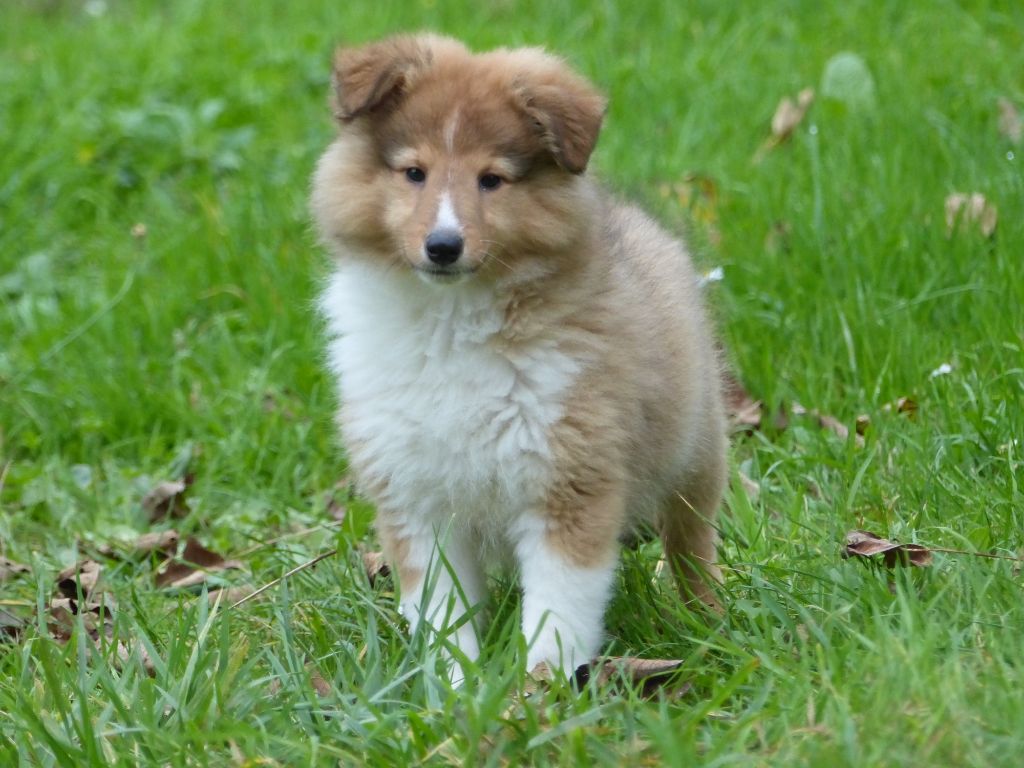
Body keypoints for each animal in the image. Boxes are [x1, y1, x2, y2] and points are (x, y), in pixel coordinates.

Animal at [311, 34, 729, 679]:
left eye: (492, 179)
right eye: (414, 173)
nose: (443, 246)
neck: (451, 324)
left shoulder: (570, 481)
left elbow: (558, 613)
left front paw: (540, 689)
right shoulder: (415, 496)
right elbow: (442, 611)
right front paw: (454, 686)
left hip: (696, 453)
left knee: (692, 544)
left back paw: (705, 619)